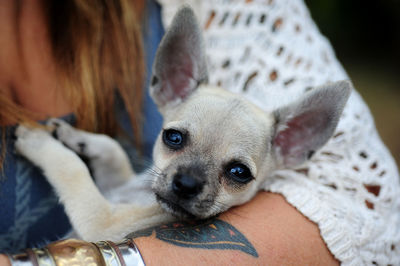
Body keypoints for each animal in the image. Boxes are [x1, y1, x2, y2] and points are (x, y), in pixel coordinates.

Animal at [14, 7, 350, 242]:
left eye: (239, 173)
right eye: (173, 137)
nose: (186, 184)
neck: (138, 193)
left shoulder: (102, 219)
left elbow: (72, 169)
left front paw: (38, 140)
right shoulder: (114, 187)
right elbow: (113, 152)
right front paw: (76, 136)